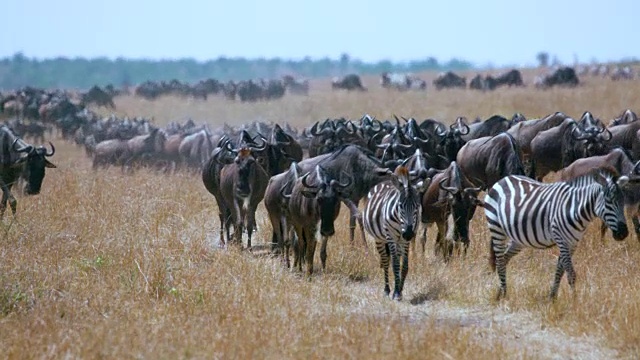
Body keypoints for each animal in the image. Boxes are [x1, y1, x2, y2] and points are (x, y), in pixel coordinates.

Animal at [362, 165, 428, 300]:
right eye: (400, 205)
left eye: (417, 206)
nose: (408, 234)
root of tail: (384, 182)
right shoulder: (391, 236)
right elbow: (395, 264)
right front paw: (396, 292)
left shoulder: (405, 240)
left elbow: (404, 265)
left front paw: (400, 290)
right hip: (380, 239)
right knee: (386, 261)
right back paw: (387, 289)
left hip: (398, 240)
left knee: (394, 257)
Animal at [484, 170, 632, 300]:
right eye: (608, 202)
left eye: (623, 202)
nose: (623, 233)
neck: (575, 209)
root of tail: (504, 179)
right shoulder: (561, 239)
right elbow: (570, 273)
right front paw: (574, 301)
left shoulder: (572, 243)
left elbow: (560, 271)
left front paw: (552, 297)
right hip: (496, 227)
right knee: (500, 260)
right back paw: (503, 294)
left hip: (518, 239)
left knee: (504, 258)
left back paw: (500, 291)